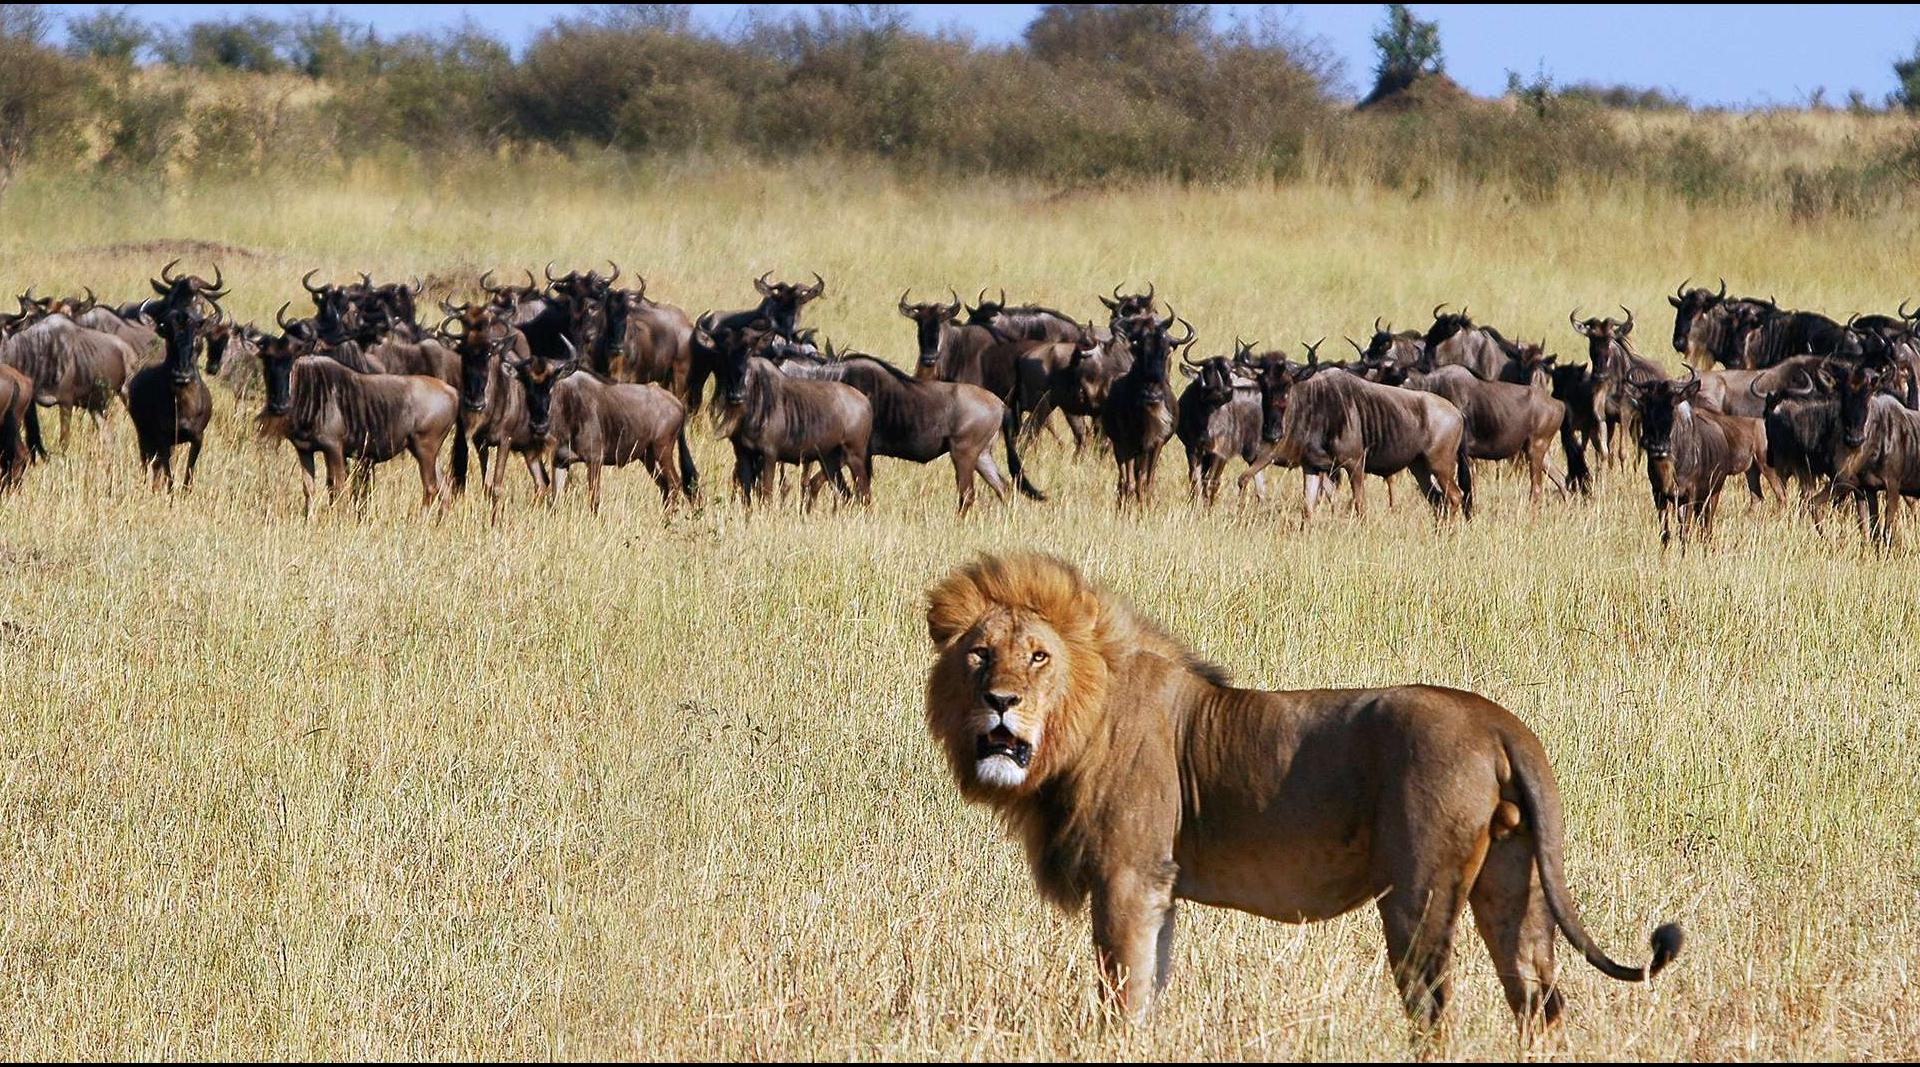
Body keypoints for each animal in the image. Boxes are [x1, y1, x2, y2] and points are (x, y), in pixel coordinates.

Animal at [917, 552, 1681, 1036]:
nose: (1000, 702)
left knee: (1434, 1010)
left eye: (1038, 656)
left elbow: (1122, 996)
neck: (1082, 719)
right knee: (1538, 1003)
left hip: (1418, 892)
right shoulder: (1158, 884)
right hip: (1511, 881)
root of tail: (1498, 719)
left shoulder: (1128, 874)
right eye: (979, 653)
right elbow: (1151, 983)